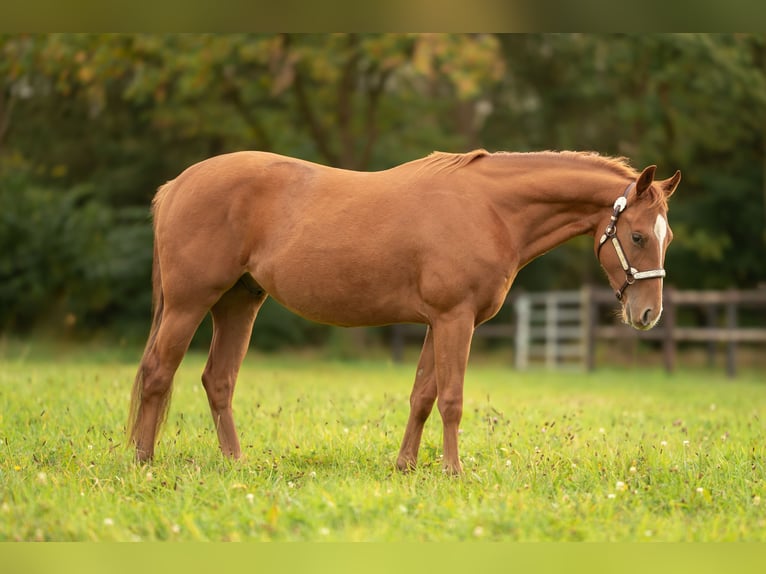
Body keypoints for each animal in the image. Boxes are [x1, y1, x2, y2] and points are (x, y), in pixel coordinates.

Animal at [127, 147, 684, 472]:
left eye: (667, 237)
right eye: (637, 236)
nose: (648, 315)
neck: (491, 209)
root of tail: (176, 185)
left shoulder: (440, 323)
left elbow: (422, 395)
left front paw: (406, 466)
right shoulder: (455, 320)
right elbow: (452, 398)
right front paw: (453, 472)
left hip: (239, 302)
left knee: (218, 380)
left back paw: (236, 463)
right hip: (189, 304)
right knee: (158, 372)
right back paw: (143, 459)